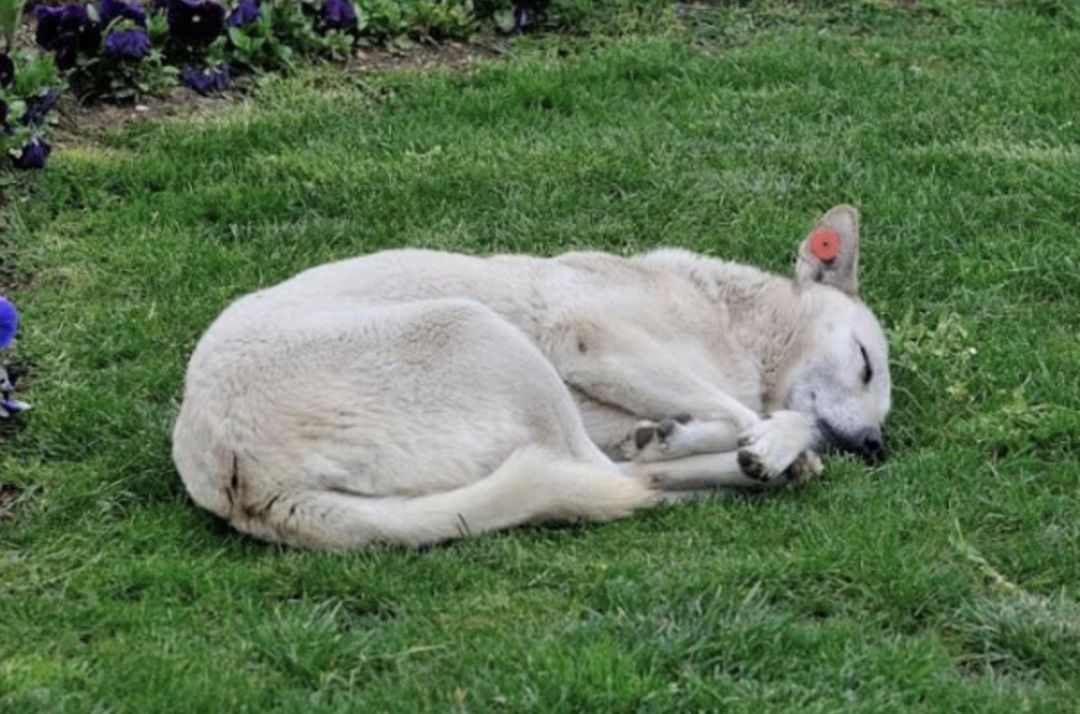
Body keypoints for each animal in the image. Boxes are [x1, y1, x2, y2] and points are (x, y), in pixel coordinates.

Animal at [172, 203, 889, 548]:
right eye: (865, 362)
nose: (877, 448)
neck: (732, 319)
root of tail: (242, 479)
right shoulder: (592, 339)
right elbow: (762, 414)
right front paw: (767, 442)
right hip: (481, 331)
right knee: (616, 477)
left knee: (618, 477)